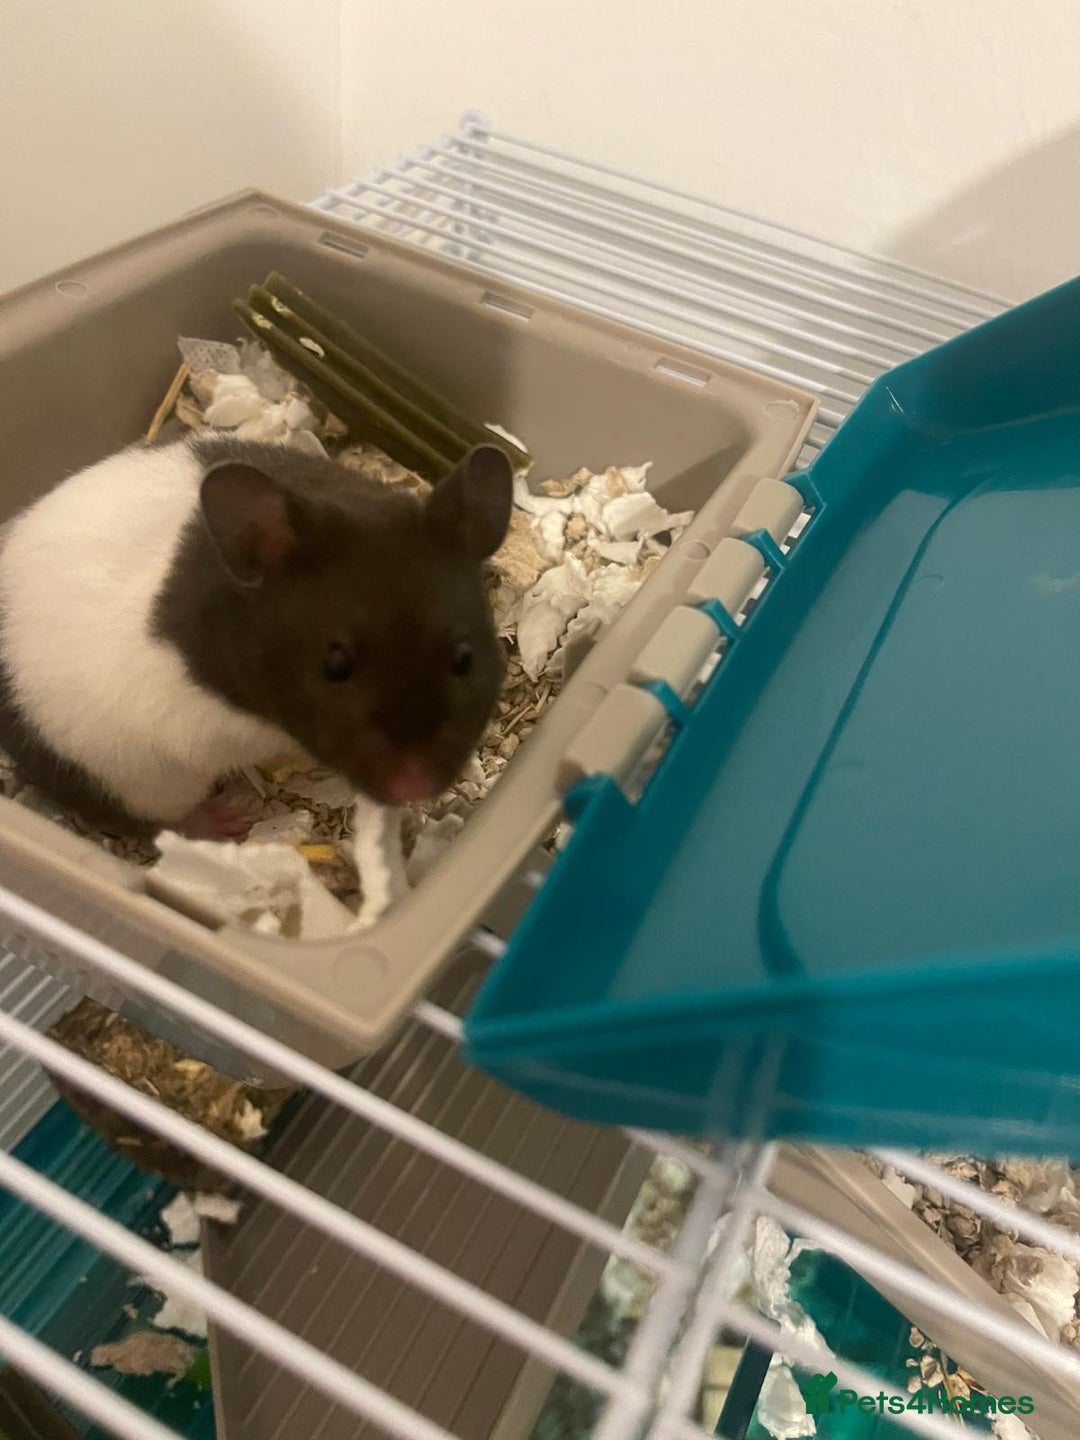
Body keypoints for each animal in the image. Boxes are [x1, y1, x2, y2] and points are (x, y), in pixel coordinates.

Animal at [0, 433, 513, 838]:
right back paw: (230, 818)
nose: (415, 788)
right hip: (129, 776)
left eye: (464, 659)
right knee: (155, 819)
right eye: (334, 665)